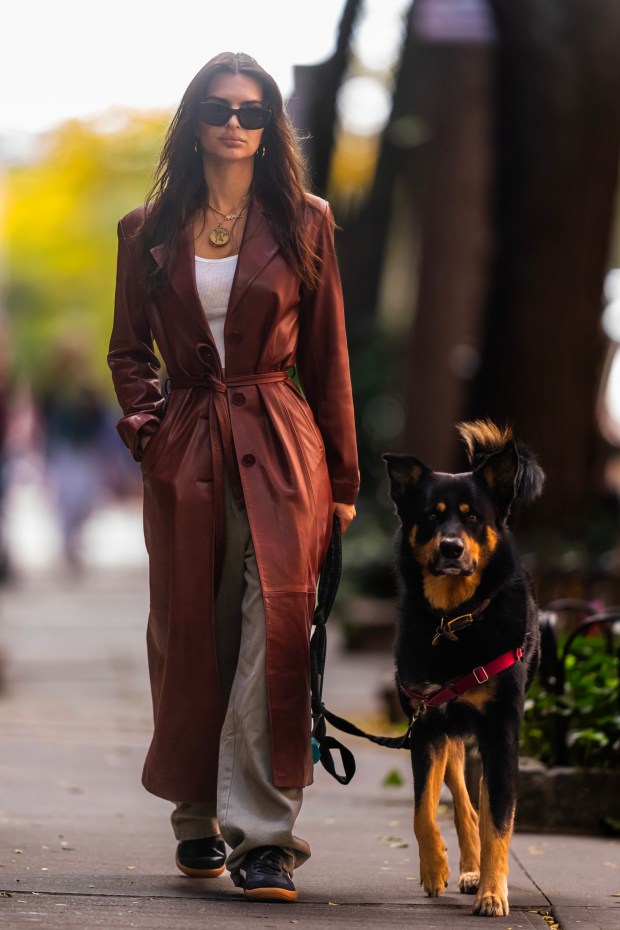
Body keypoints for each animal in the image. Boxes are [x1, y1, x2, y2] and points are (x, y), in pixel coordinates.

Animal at [386, 418, 544, 912]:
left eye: (474, 517)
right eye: (432, 516)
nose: (452, 548)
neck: (454, 619)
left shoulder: (501, 731)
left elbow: (500, 821)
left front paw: (494, 892)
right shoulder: (426, 724)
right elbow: (423, 809)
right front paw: (434, 867)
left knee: (482, 802)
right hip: (449, 729)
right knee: (461, 800)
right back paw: (466, 866)